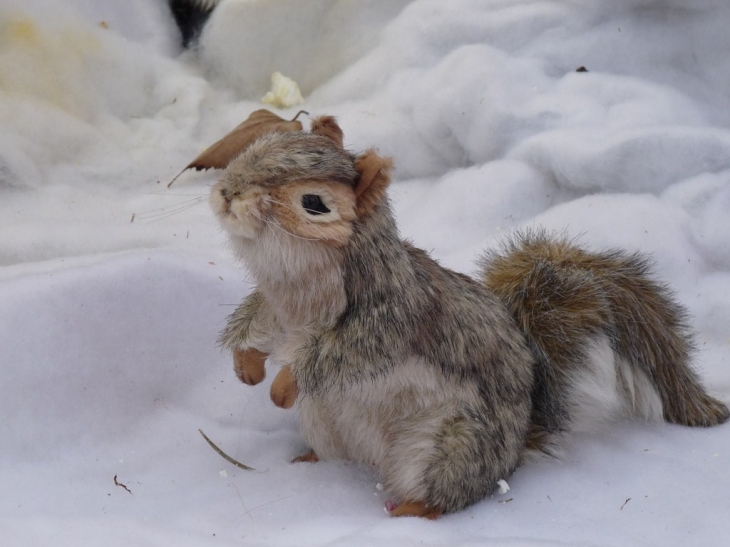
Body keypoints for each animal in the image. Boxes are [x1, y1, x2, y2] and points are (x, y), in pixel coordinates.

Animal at [208, 114, 724, 520]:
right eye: (257, 147)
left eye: (313, 203)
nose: (228, 192)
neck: (297, 285)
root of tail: (515, 445)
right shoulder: (276, 307)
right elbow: (256, 323)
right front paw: (246, 364)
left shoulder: (392, 316)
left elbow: (350, 354)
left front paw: (285, 383)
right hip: (325, 421)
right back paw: (310, 463)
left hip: (453, 444)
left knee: (445, 489)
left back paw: (411, 509)